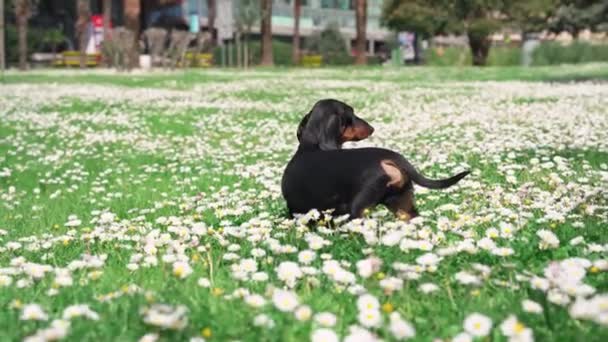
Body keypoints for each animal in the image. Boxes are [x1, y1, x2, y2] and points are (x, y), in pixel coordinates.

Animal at [280, 98, 470, 222]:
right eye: (352, 115)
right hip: (402, 204)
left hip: (359, 206)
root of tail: (389, 157)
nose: (372, 128)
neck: (310, 145)